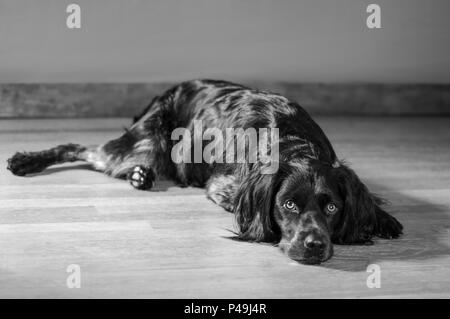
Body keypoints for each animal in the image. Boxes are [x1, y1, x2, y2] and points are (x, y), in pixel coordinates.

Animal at [7, 79, 402, 264]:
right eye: (288, 206)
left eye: (332, 208)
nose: (315, 245)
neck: (292, 141)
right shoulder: (225, 187)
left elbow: (372, 202)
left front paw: (382, 219)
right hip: (147, 137)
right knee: (79, 148)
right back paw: (25, 161)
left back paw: (141, 175)